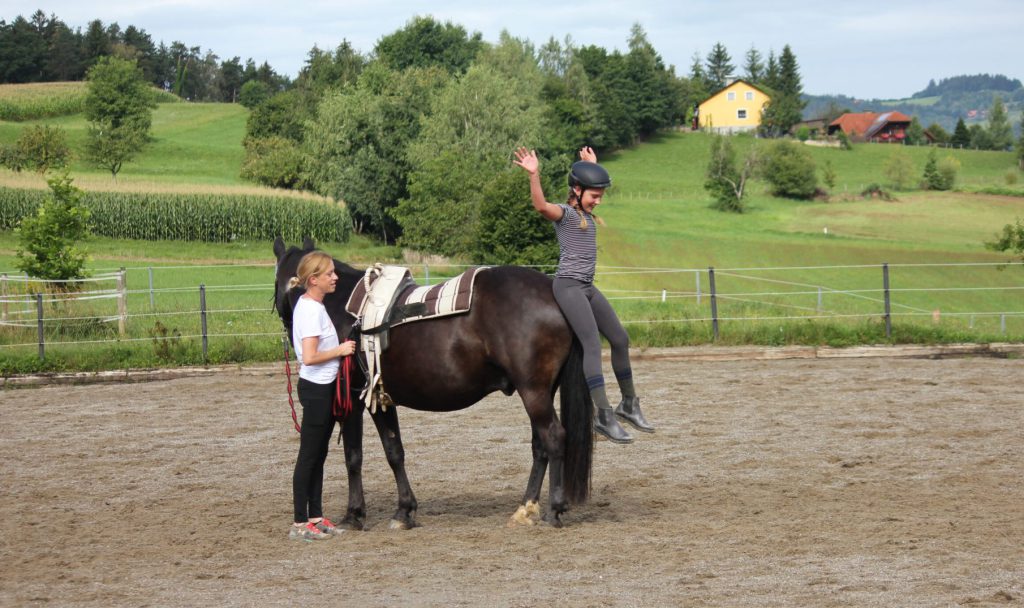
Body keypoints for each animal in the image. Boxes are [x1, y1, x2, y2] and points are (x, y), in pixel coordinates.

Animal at [272, 236, 593, 524]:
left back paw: (554, 510)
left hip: (533, 390)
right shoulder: (382, 399)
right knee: (540, 445)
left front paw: (354, 514)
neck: (346, 312)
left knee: (553, 437)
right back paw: (525, 508)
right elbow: (394, 451)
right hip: (542, 390)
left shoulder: (351, 399)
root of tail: (552, 292)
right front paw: (404, 510)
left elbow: (353, 455)